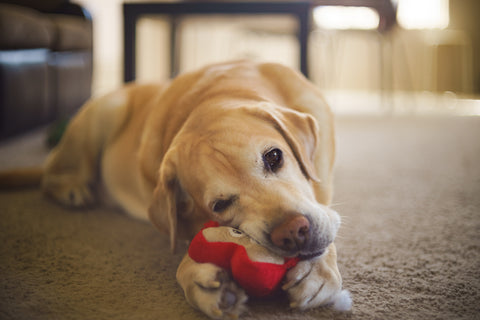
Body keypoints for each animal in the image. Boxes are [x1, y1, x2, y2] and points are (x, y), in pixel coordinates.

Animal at [40, 60, 344, 318]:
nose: (292, 232)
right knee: (50, 174)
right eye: (220, 205)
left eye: (274, 156)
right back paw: (72, 188)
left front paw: (318, 271)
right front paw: (201, 282)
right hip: (105, 112)